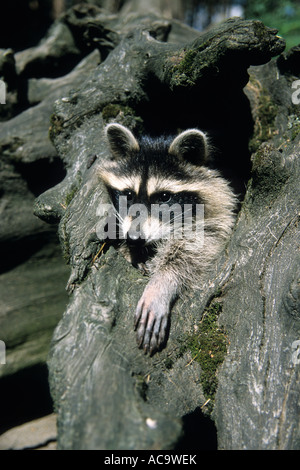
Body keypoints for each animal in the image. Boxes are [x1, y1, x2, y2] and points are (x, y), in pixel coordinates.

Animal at [98, 123, 237, 354]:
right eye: (128, 195)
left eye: (164, 197)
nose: (134, 238)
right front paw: (131, 252)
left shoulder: (218, 213)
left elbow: (202, 242)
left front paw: (162, 281)